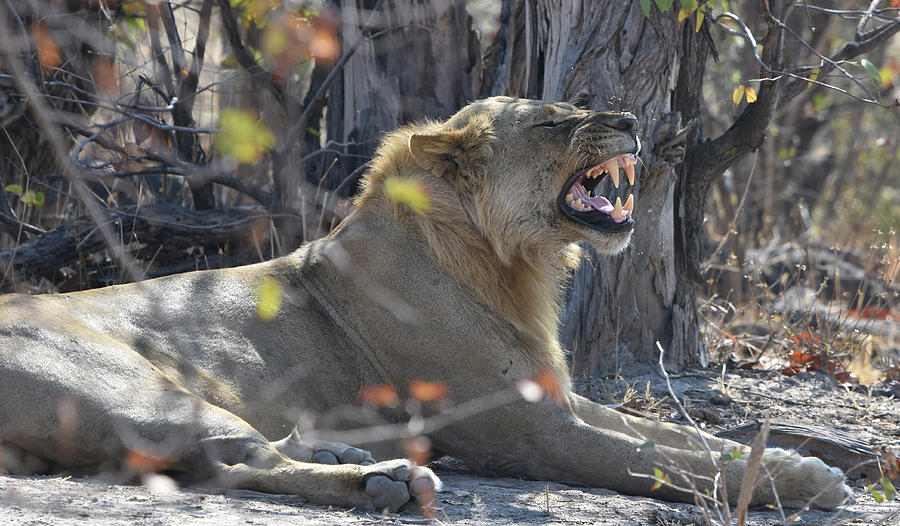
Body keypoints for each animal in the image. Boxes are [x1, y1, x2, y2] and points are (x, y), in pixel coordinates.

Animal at [0, 97, 852, 512]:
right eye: (552, 121)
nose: (635, 121)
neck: (508, 266)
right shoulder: (529, 432)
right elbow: (653, 460)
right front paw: (807, 486)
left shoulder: (552, 395)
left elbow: (678, 437)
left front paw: (799, 462)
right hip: (143, 388)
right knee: (227, 463)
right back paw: (387, 484)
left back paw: (351, 459)